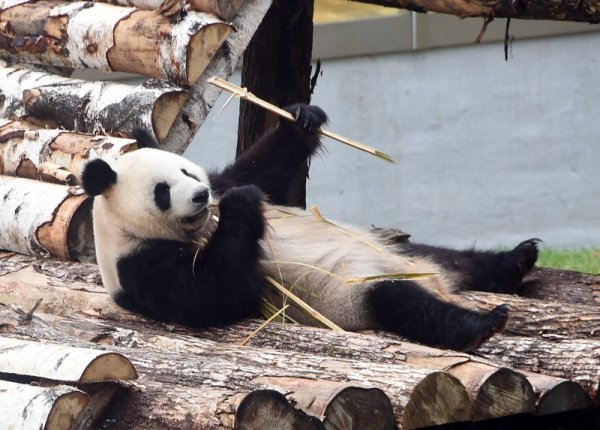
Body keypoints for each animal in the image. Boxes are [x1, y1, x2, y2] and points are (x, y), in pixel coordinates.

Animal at [81, 105, 540, 352]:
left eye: (186, 170)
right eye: (162, 191)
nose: (199, 196)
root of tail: (439, 282)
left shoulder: (222, 179)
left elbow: (260, 173)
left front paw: (300, 119)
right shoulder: (140, 264)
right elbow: (212, 295)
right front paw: (241, 205)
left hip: (403, 251)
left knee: (456, 259)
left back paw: (516, 261)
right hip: (352, 294)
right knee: (402, 301)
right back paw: (480, 325)